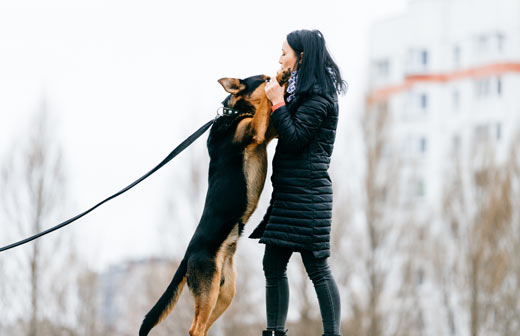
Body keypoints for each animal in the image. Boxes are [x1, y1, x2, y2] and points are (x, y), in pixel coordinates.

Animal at [138, 71, 288, 336]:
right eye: (263, 78)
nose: (275, 75)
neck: (235, 112)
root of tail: (187, 255)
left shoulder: (265, 131)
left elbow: (269, 111)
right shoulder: (256, 130)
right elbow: (264, 105)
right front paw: (282, 78)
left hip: (225, 292)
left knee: (204, 325)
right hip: (208, 291)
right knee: (195, 328)